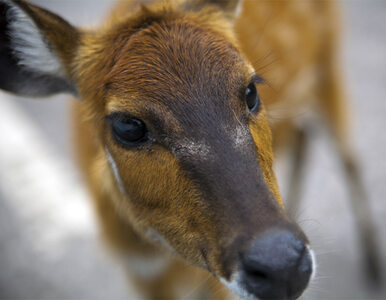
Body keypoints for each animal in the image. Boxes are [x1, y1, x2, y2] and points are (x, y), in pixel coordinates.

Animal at [0, 0, 380, 298]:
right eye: (127, 126)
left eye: (250, 90)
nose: (283, 264)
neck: (160, 259)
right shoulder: (141, 276)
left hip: (329, 66)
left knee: (348, 157)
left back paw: (374, 265)